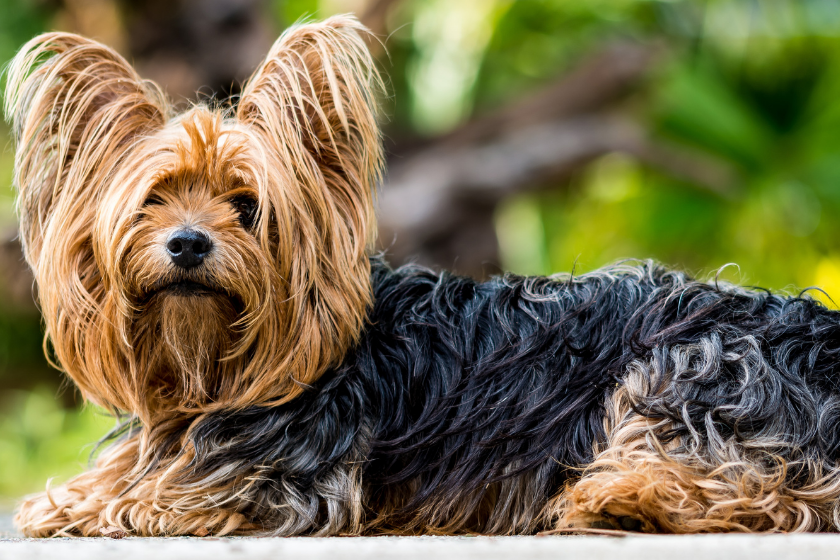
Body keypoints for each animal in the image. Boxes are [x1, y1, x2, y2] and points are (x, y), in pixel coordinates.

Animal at [6, 15, 840, 536]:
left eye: (248, 206)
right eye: (152, 200)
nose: (186, 244)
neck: (212, 367)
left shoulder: (284, 483)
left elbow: (151, 498)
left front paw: (84, 506)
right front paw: (78, 494)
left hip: (695, 364)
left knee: (779, 492)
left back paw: (621, 500)